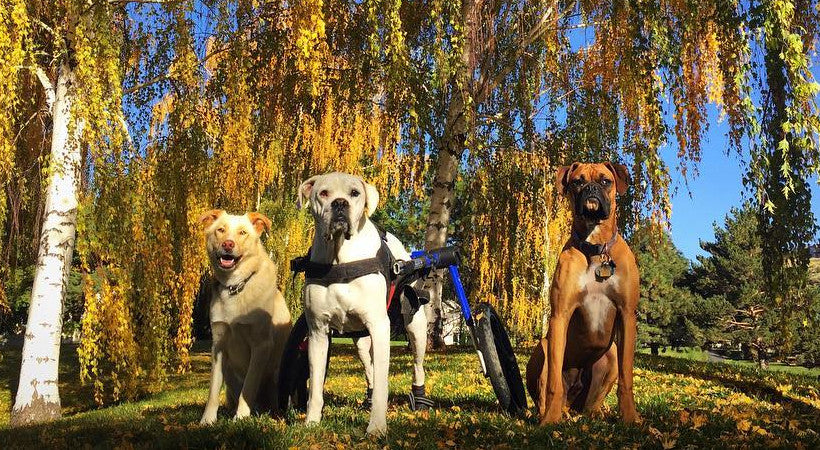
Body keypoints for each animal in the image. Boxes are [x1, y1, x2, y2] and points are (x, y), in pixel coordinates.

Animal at [200, 209, 294, 424]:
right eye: (221, 230)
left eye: (242, 233)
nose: (228, 244)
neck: (236, 286)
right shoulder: (218, 345)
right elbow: (213, 390)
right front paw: (207, 420)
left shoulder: (261, 345)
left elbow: (249, 386)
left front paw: (241, 417)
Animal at [298, 171, 432, 432]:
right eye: (323, 193)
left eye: (354, 193)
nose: (340, 203)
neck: (339, 256)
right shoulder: (318, 331)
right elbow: (316, 385)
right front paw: (311, 422)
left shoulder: (380, 327)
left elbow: (382, 382)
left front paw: (377, 427)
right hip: (360, 340)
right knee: (368, 367)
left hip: (415, 326)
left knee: (417, 364)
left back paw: (419, 397)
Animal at [524, 162, 640, 426]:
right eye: (578, 181)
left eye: (605, 181)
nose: (591, 189)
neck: (596, 248)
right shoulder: (560, 316)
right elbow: (553, 383)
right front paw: (551, 420)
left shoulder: (627, 315)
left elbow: (627, 379)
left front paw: (630, 417)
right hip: (543, 347)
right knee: (547, 389)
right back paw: (552, 414)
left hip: (611, 355)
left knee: (590, 404)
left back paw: (597, 413)